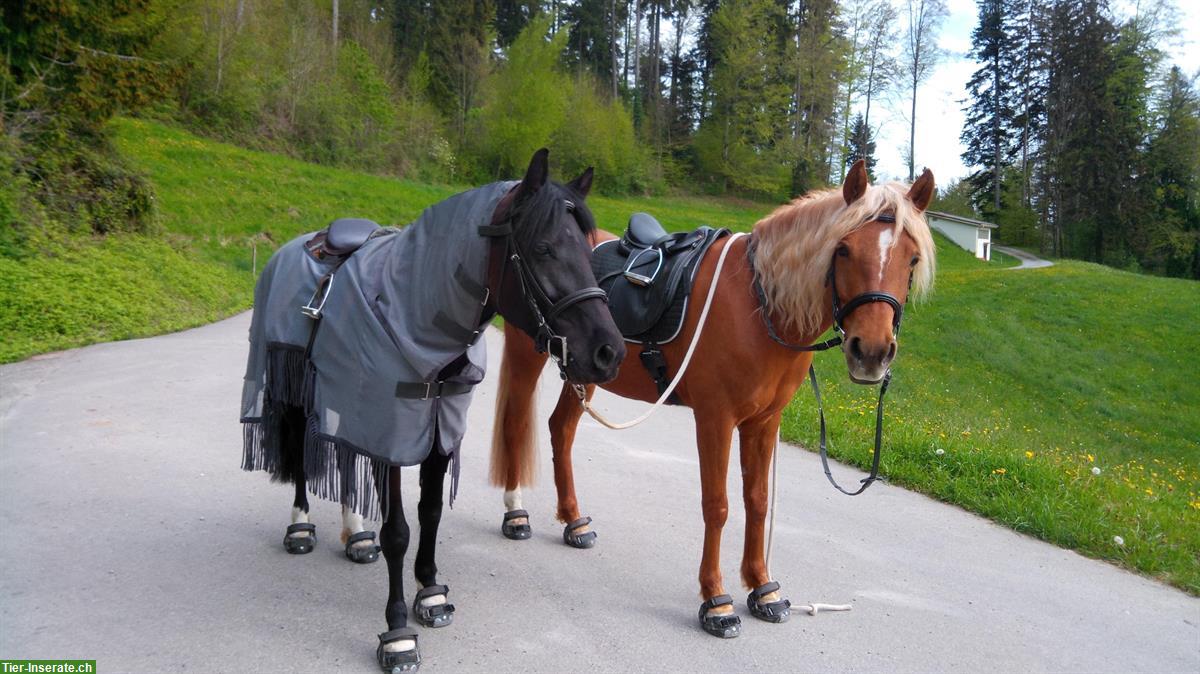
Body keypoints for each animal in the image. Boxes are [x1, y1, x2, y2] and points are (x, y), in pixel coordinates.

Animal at [240, 149, 624, 666]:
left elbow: (431, 513)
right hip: (298, 387)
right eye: (544, 249)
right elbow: (399, 531)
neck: (410, 308)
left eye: (588, 251)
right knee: (302, 452)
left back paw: (355, 533)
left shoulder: (436, 431)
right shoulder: (393, 434)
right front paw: (397, 630)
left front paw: (431, 592)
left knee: (343, 453)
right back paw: (301, 527)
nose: (608, 352)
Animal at [487, 161, 936, 633]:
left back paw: (574, 521)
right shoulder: (715, 418)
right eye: (844, 250)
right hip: (527, 353)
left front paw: (762, 587)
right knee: (516, 423)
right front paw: (716, 600)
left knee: (561, 429)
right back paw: (515, 513)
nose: (871, 352)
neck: (759, 306)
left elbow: (757, 501)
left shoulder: (764, 422)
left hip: (588, 368)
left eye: (912, 258)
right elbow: (717, 505)